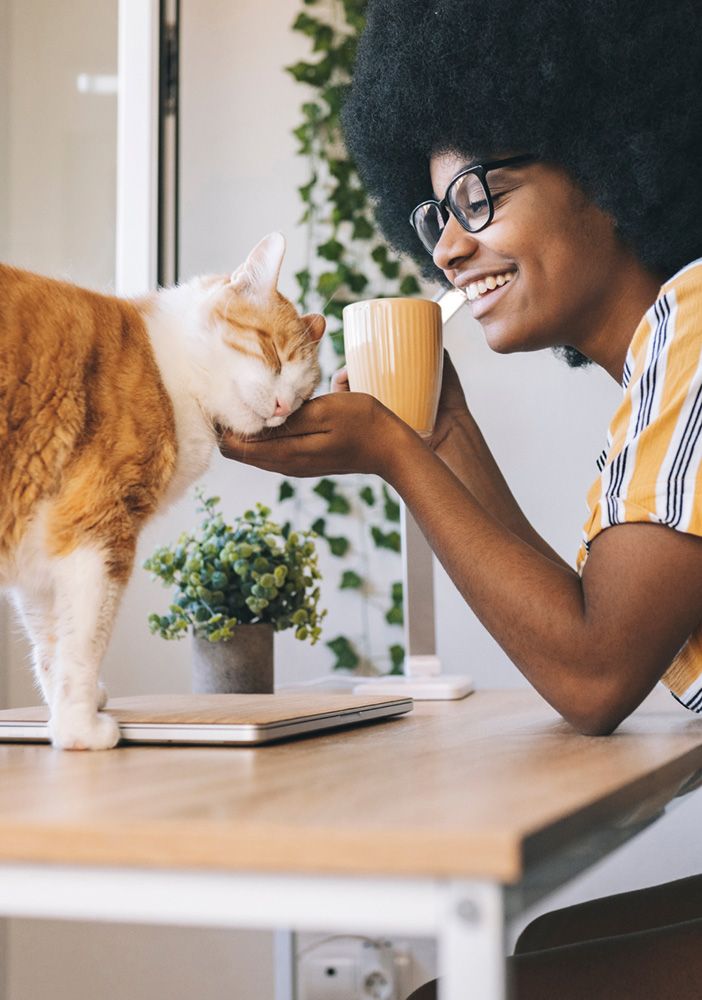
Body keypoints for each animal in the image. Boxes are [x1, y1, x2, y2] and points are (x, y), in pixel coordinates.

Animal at [0, 234, 324, 752]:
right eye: (273, 353)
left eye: (301, 399)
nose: (280, 406)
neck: (171, 374)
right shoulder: (95, 527)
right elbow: (83, 642)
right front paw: (80, 728)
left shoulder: (41, 551)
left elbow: (52, 643)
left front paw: (69, 715)